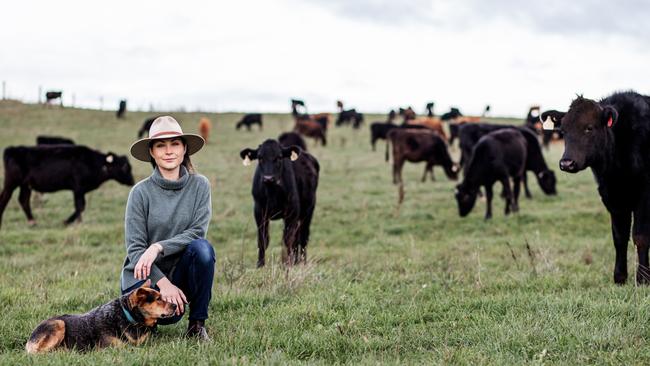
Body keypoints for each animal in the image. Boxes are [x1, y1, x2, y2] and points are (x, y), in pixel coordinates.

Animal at [0, 144, 134, 227]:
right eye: (124, 167)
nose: (132, 181)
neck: (93, 162)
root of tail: (12, 149)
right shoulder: (78, 188)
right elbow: (80, 206)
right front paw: (70, 221)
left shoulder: (80, 190)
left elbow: (80, 206)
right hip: (11, 183)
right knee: (5, 198)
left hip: (25, 185)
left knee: (24, 200)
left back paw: (32, 222)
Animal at [26, 280, 175, 354]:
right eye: (158, 299)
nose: (175, 305)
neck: (129, 318)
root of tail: (29, 340)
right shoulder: (112, 348)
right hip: (59, 323)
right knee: (39, 353)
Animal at [238, 139, 318, 268]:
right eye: (260, 157)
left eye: (279, 157)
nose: (268, 178)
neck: (272, 194)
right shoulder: (259, 212)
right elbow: (263, 239)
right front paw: (260, 265)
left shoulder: (292, 212)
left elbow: (288, 240)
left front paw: (288, 264)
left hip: (308, 211)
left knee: (303, 237)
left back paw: (302, 263)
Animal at [540, 90, 648, 284]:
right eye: (563, 130)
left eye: (589, 128)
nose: (566, 163)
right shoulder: (612, 197)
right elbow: (619, 237)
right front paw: (619, 277)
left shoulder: (643, 195)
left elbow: (641, 236)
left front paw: (643, 279)